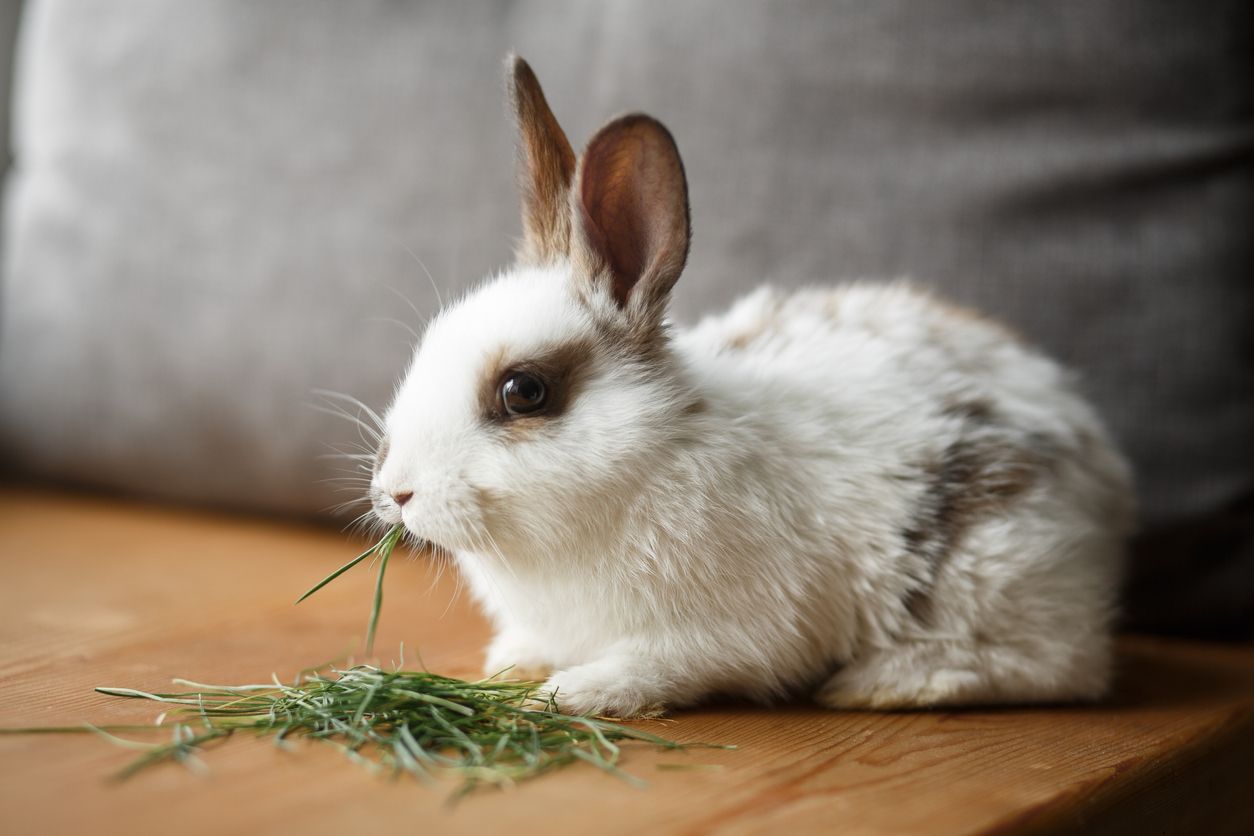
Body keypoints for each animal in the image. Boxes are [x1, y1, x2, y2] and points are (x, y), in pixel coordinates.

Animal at [368, 53, 1138, 721]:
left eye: (524, 391)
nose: (395, 492)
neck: (649, 458)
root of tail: (1098, 456)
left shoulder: (719, 636)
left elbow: (653, 666)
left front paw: (573, 694)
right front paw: (514, 663)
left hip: (993, 567)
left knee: (1062, 667)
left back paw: (884, 683)